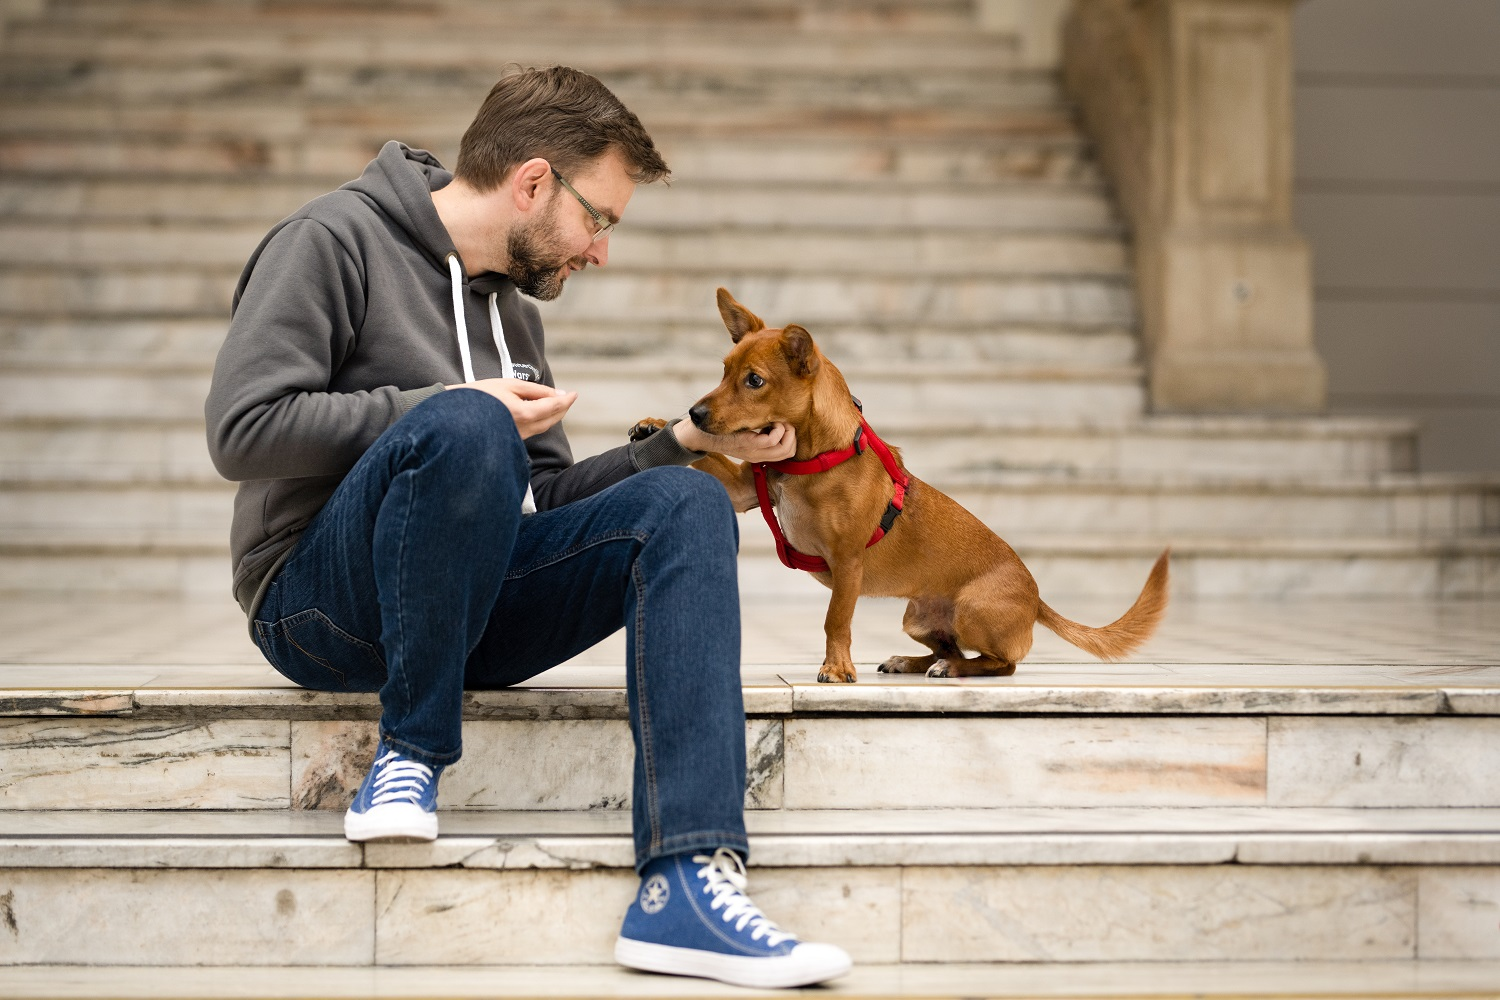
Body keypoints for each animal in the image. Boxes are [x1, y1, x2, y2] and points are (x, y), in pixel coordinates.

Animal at [651, 284, 1164, 683]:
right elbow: (712, 457)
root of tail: (1037, 598)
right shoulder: (744, 492)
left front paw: (837, 668)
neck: (812, 460)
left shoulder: (847, 564)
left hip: (972, 610)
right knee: (947, 647)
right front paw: (655, 425)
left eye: (754, 381)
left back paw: (953, 670)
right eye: (723, 371)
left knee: (999, 663)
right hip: (917, 617)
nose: (695, 413)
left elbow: (835, 620)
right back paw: (912, 662)